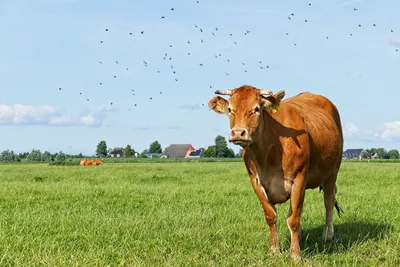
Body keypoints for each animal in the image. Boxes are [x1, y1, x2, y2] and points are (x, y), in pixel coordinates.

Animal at [209, 85, 344, 262]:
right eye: (230, 109)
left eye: (256, 109)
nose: (238, 133)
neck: (269, 154)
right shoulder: (256, 181)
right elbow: (271, 216)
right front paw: (274, 250)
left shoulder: (299, 177)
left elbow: (293, 219)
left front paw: (295, 255)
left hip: (332, 172)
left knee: (328, 201)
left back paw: (328, 235)